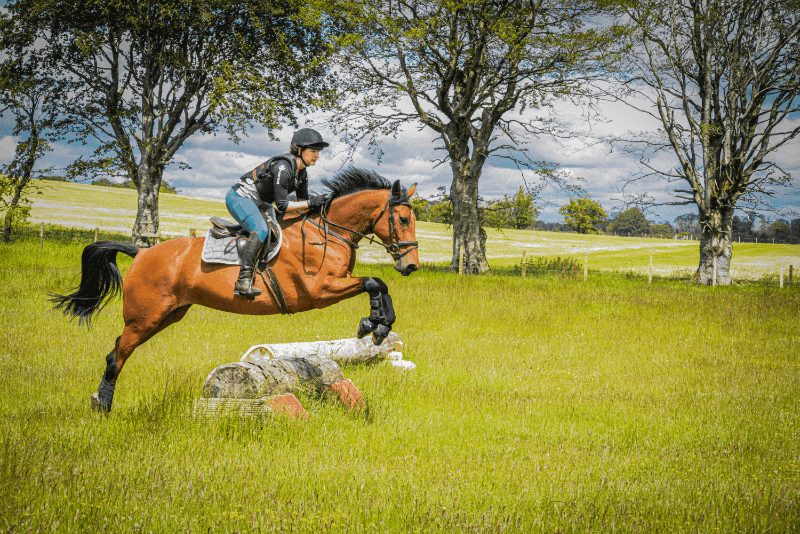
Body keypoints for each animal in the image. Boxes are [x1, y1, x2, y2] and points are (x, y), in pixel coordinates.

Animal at [50, 168, 420, 412]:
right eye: (402, 220)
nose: (411, 265)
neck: (326, 231)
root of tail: (140, 252)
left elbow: (379, 285)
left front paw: (379, 324)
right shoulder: (318, 290)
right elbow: (374, 282)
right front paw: (374, 324)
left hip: (166, 315)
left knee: (118, 350)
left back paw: (101, 401)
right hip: (145, 317)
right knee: (116, 355)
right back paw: (102, 406)